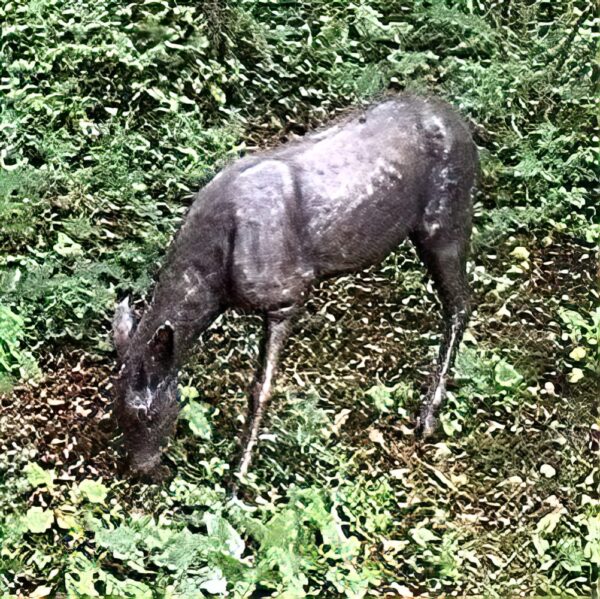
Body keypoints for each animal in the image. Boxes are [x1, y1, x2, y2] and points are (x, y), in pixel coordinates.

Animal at [112, 97, 478, 482]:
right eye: (115, 411)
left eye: (148, 415)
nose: (141, 470)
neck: (216, 280)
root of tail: (461, 124)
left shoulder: (287, 295)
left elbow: (261, 389)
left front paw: (237, 479)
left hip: (447, 219)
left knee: (460, 304)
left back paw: (428, 417)